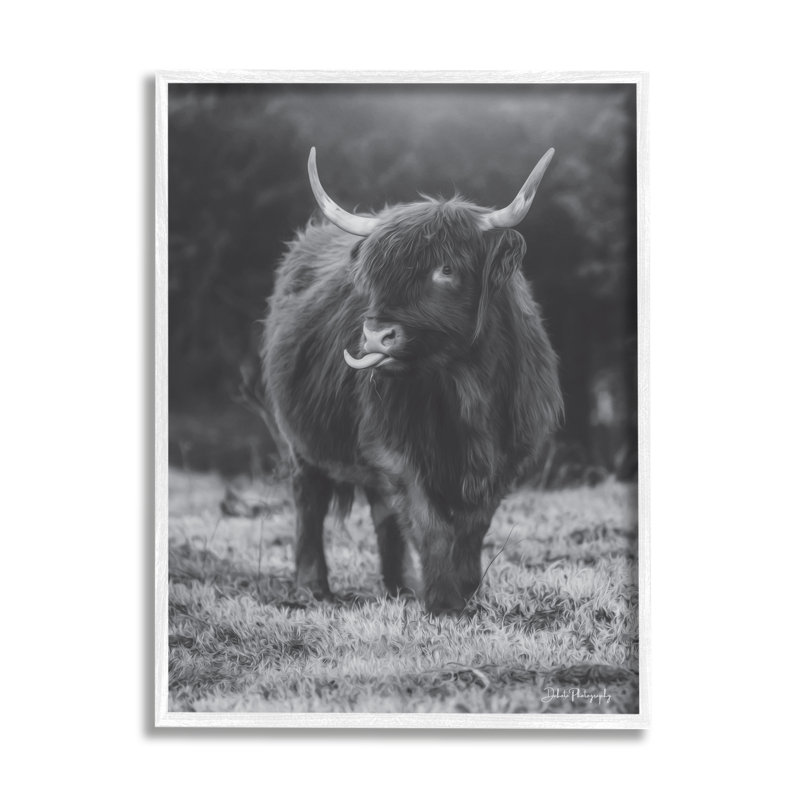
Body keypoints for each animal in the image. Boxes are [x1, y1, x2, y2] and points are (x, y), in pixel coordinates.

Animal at [261, 147, 563, 615]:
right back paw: (313, 587)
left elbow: (474, 524)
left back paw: (398, 586)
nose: (374, 336)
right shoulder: (393, 446)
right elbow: (428, 521)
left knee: (382, 511)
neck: (465, 387)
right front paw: (442, 600)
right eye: (375, 274)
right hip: (300, 440)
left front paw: (467, 592)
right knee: (309, 500)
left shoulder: (510, 452)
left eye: (447, 268)